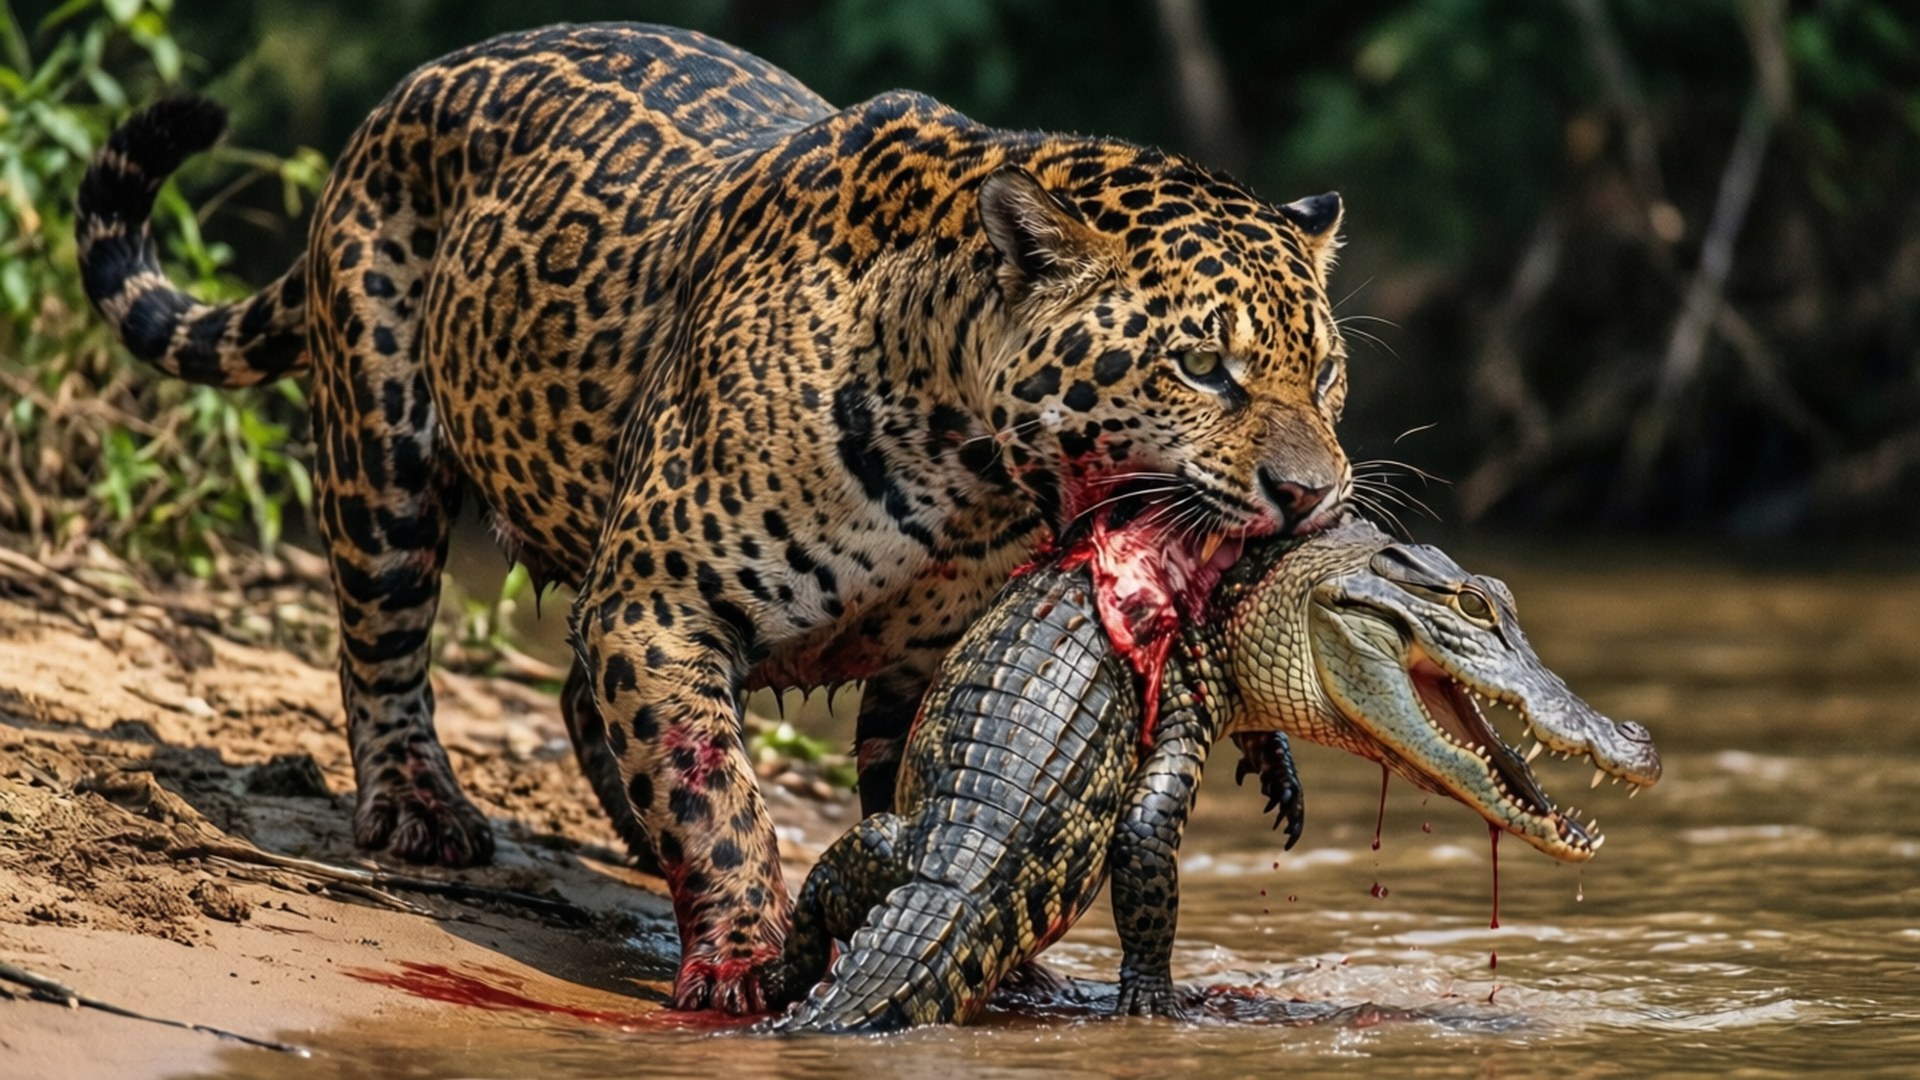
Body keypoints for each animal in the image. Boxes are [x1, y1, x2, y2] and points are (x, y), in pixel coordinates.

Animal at [75, 23, 1353, 1013]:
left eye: (1328, 372)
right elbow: (714, 791)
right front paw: (741, 955)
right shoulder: (660, 604)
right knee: (382, 647)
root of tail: (410, 87)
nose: (1314, 494)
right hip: (382, 450)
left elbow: (920, 793)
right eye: (1202, 367)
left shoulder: (926, 656)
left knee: (570, 693)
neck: (970, 473)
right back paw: (415, 808)